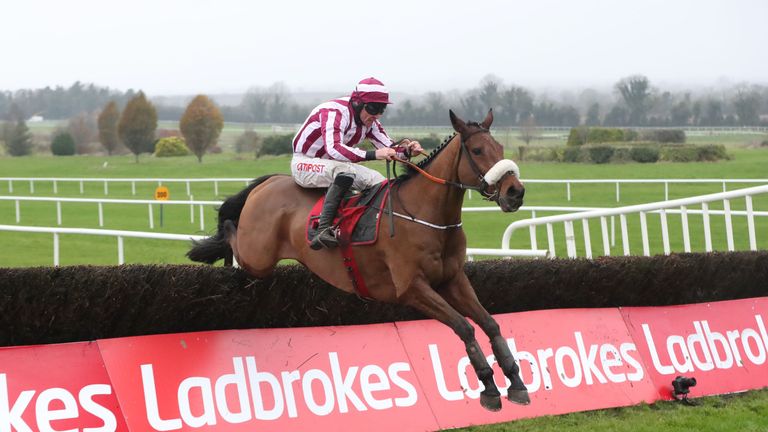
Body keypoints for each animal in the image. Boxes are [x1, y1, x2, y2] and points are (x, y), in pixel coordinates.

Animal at [189, 109, 532, 412]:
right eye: (477, 150)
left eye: (500, 148)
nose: (515, 192)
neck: (425, 214)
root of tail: (269, 182)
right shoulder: (411, 288)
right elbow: (465, 327)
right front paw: (489, 387)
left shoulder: (453, 279)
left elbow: (489, 323)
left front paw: (515, 382)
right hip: (257, 257)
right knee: (232, 231)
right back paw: (220, 246)